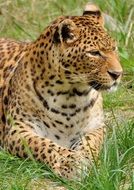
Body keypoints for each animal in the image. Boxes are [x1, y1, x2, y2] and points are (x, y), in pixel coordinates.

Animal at [0, 2, 122, 179]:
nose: (118, 74)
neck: (71, 95)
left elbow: (90, 143)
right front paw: (69, 163)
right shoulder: (18, 130)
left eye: (115, 48)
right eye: (94, 53)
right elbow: (43, 144)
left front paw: (85, 160)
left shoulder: (96, 127)